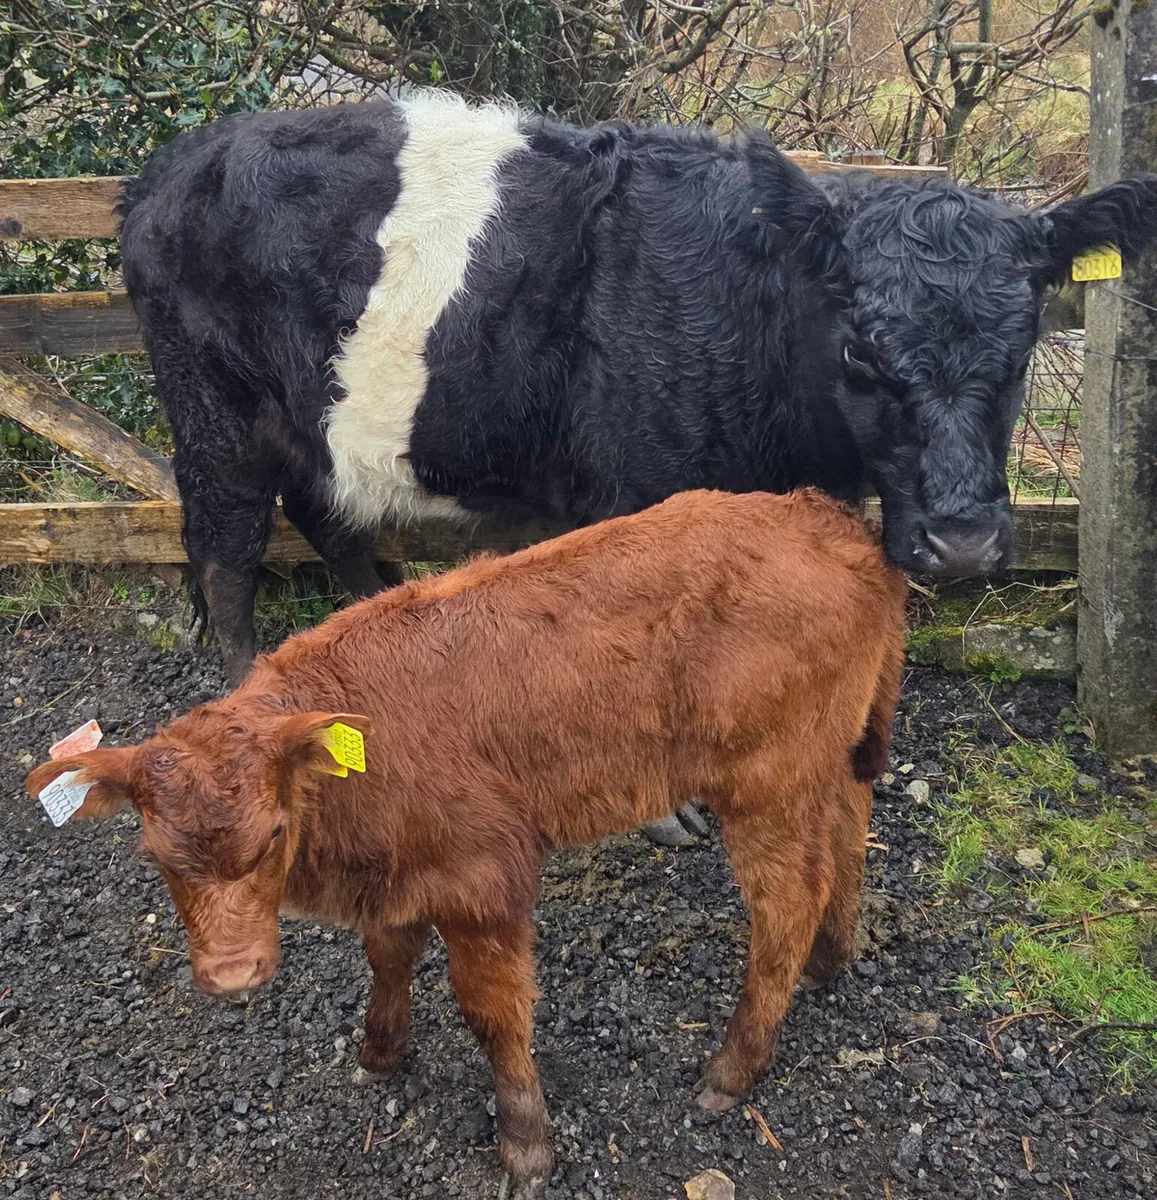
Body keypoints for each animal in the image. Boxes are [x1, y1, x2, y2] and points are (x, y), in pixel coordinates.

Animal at [28, 488, 907, 1199]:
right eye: (154, 855)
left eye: (274, 833)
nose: (235, 973)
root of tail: (829, 518)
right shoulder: (398, 877)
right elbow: (387, 957)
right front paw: (379, 1052)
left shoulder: (481, 881)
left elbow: (493, 1015)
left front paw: (525, 1145)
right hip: (831, 758)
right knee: (848, 838)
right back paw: (831, 961)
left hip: (767, 782)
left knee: (787, 902)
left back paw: (731, 1069)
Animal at [117, 89, 1157, 845]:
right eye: (860, 347)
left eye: (1020, 349)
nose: (962, 540)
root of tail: (174, 164)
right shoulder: (627, 501)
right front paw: (661, 809)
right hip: (215, 415)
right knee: (228, 551)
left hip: (308, 421)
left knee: (324, 516)